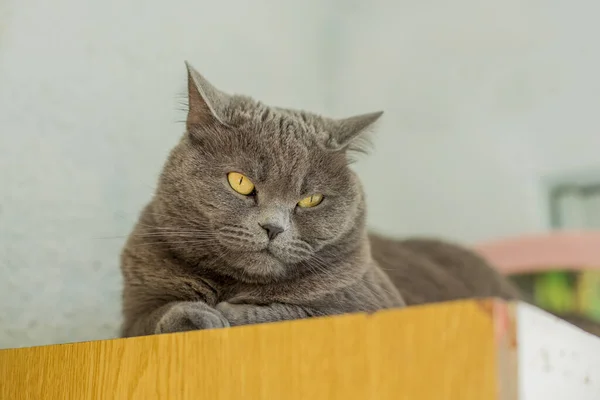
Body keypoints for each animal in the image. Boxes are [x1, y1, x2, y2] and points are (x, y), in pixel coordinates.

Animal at [120, 63, 592, 338]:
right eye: (240, 182)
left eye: (311, 199)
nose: (272, 227)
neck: (237, 284)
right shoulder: (132, 315)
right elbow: (157, 317)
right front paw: (198, 314)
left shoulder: (369, 306)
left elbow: (291, 312)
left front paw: (228, 313)